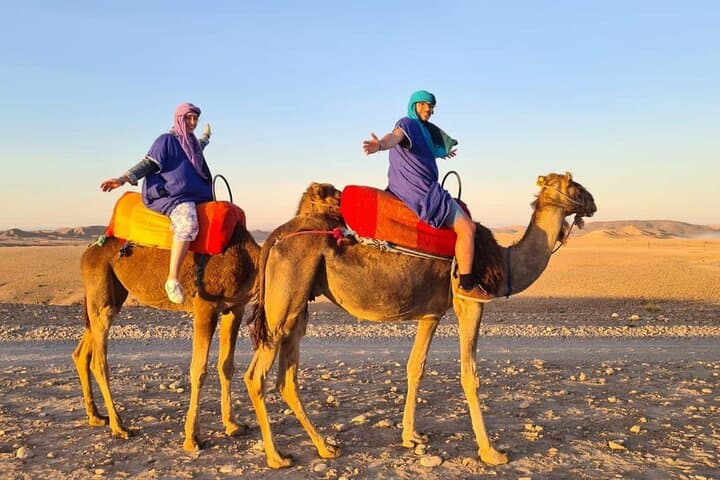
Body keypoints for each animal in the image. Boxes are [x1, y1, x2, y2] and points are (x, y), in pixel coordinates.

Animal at [72, 183, 340, 452]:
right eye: (333, 197)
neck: (249, 260)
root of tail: (88, 251)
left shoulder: (235, 308)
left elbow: (226, 365)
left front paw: (232, 425)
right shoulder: (205, 307)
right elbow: (198, 369)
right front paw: (192, 438)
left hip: (113, 294)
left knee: (83, 350)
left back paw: (96, 416)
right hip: (101, 287)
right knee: (99, 359)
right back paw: (119, 426)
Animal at [244, 172, 596, 468]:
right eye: (574, 185)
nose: (593, 202)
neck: (505, 262)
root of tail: (276, 236)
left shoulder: (432, 312)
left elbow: (416, 367)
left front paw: (410, 436)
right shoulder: (469, 302)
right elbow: (469, 375)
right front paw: (491, 451)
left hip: (298, 305)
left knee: (286, 378)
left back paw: (325, 446)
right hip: (285, 299)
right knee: (256, 375)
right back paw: (276, 456)